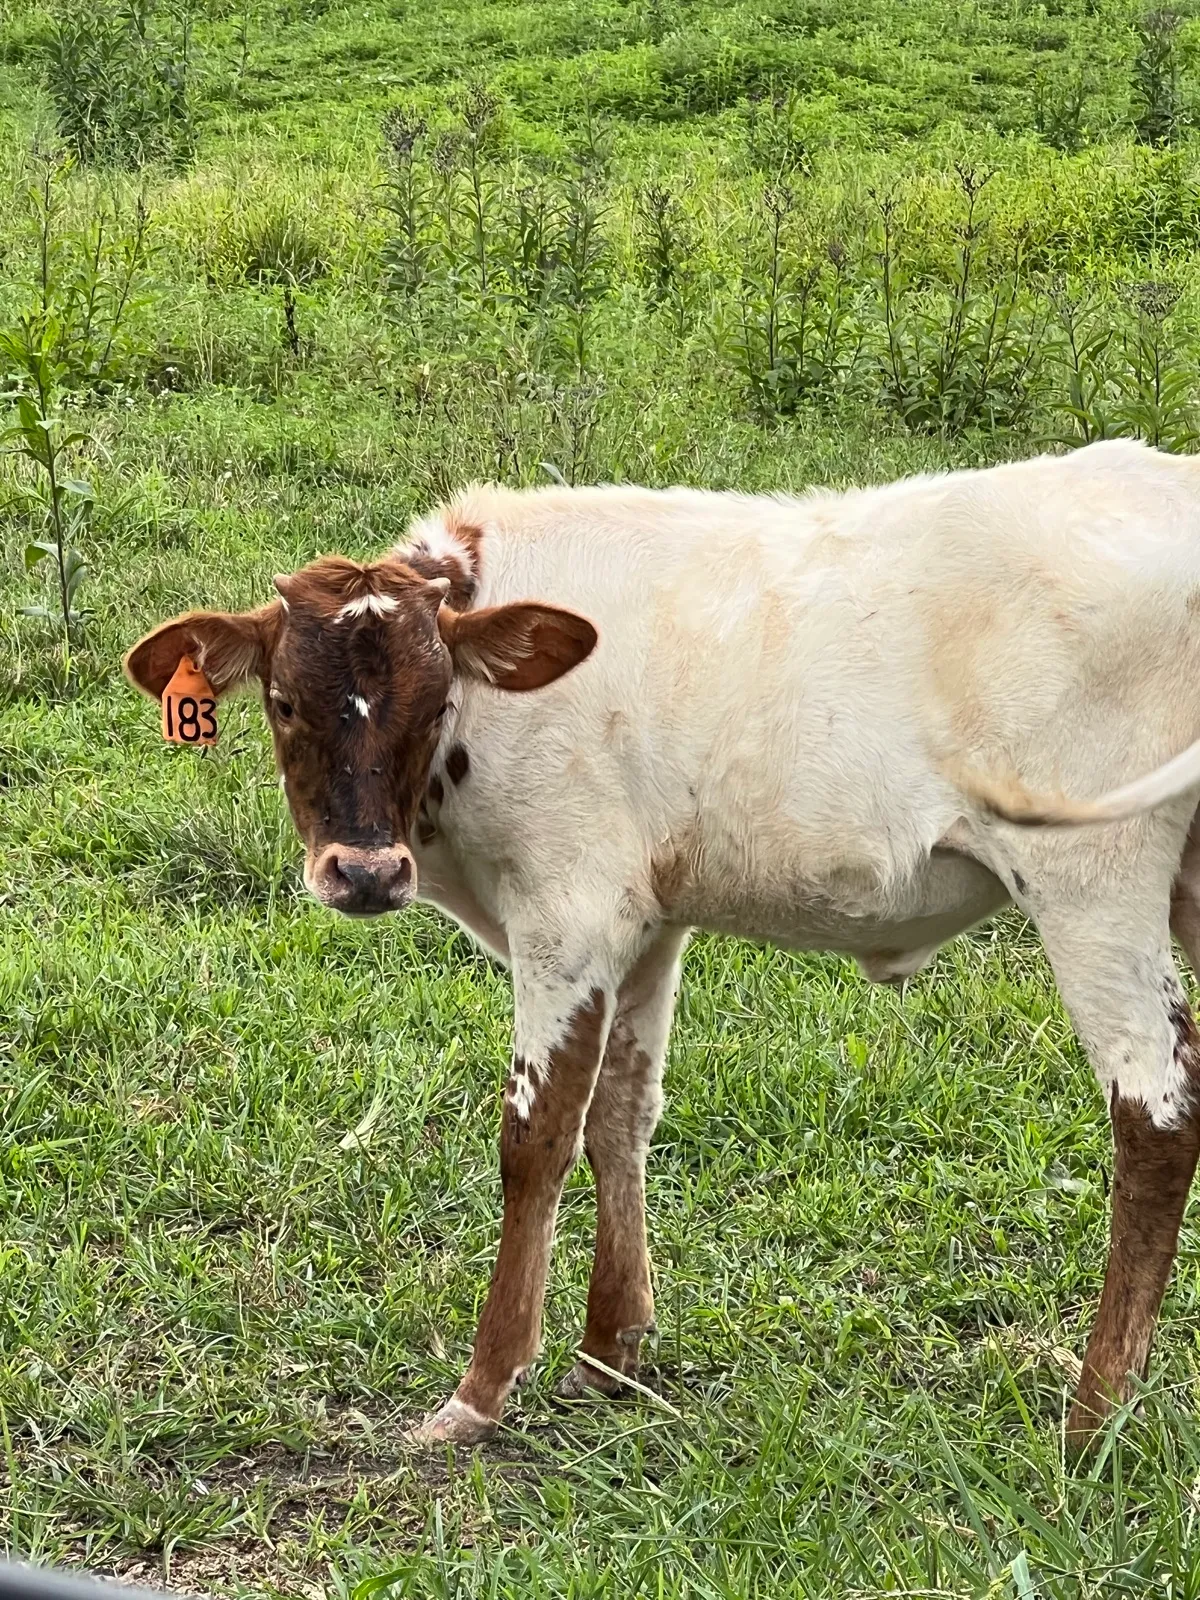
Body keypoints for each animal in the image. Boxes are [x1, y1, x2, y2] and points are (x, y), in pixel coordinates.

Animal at [126, 438, 1200, 1451]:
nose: (363, 872)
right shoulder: (644, 923)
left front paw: (484, 1388)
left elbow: (537, 1136)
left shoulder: (566, 917)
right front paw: (611, 1351)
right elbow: (620, 1115)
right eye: (284, 702)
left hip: (1092, 879)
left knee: (1157, 1118)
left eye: (435, 703)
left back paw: (1094, 1415)